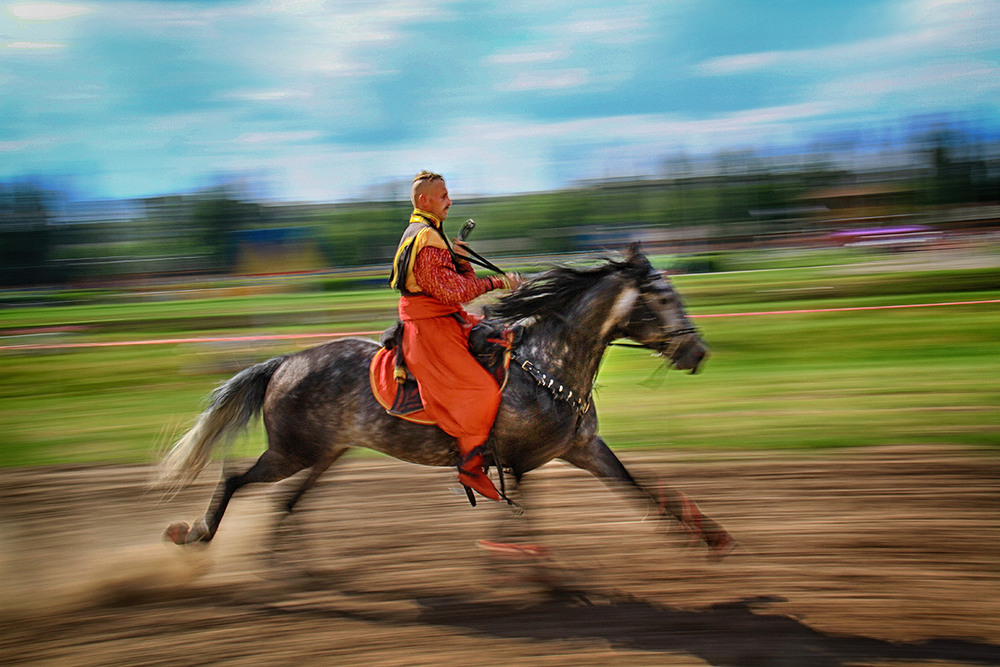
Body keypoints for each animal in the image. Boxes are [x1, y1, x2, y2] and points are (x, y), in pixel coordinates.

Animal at [158, 245, 736, 560]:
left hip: (325, 453)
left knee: (287, 503)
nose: (699, 351)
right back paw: (197, 534)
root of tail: (283, 362)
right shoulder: (518, 461)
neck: (545, 364)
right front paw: (534, 573)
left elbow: (641, 490)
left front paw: (708, 535)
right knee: (235, 478)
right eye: (663, 297)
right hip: (292, 451)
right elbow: (527, 521)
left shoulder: (583, 448)